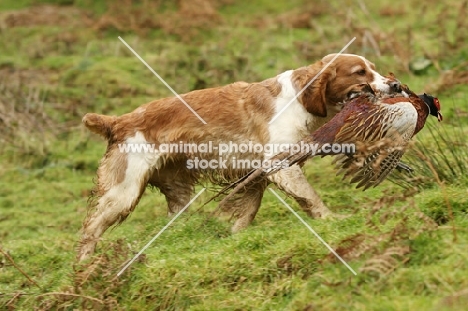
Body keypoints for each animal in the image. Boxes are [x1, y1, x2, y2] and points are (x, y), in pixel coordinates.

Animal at [77, 53, 402, 260]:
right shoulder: (280, 166)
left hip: (177, 192)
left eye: (374, 69)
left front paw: (234, 237)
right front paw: (333, 220)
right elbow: (312, 197)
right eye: (359, 73)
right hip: (124, 192)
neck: (299, 99)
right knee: (90, 229)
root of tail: (118, 121)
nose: (396, 85)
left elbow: (247, 212)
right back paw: (83, 268)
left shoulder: (256, 174)